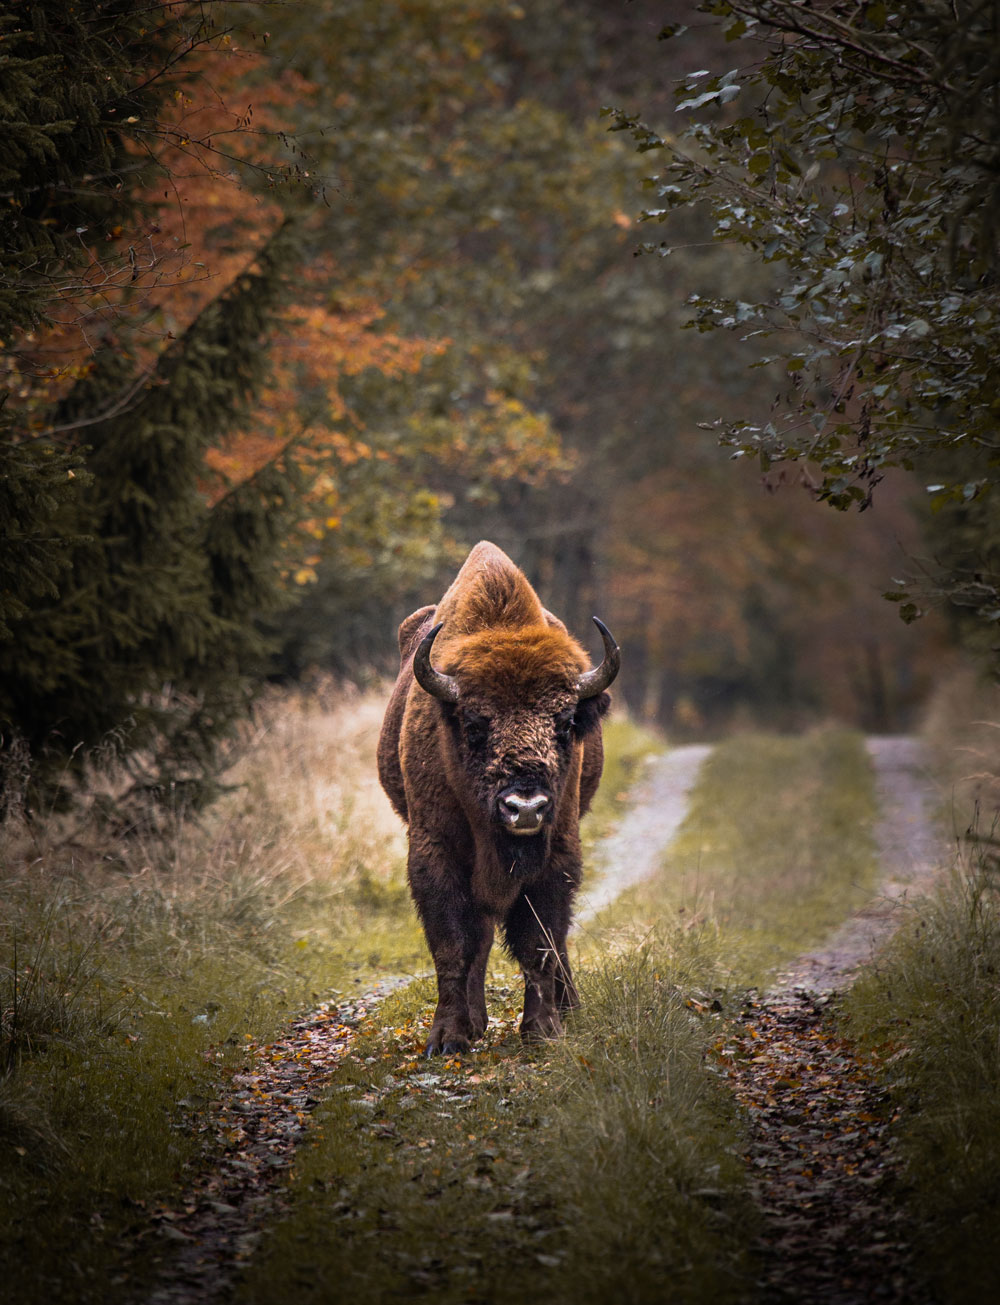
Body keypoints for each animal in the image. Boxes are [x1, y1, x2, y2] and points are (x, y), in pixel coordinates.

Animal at [381, 540, 621, 1059]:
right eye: (474, 724)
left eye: (565, 722)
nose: (525, 808)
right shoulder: (436, 851)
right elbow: (453, 943)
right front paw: (447, 1038)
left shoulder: (558, 852)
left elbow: (540, 941)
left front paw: (543, 1030)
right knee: (481, 935)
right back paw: (476, 1023)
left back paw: (568, 1006)